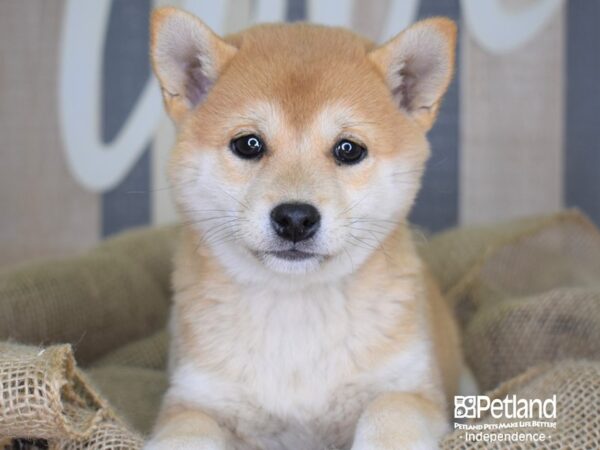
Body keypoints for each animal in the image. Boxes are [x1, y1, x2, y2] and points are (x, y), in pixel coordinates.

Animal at [146, 7, 464, 450]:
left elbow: (388, 413)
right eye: (248, 144)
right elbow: (186, 434)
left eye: (348, 149)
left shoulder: (410, 391)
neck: (295, 309)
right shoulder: (195, 399)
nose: (295, 217)